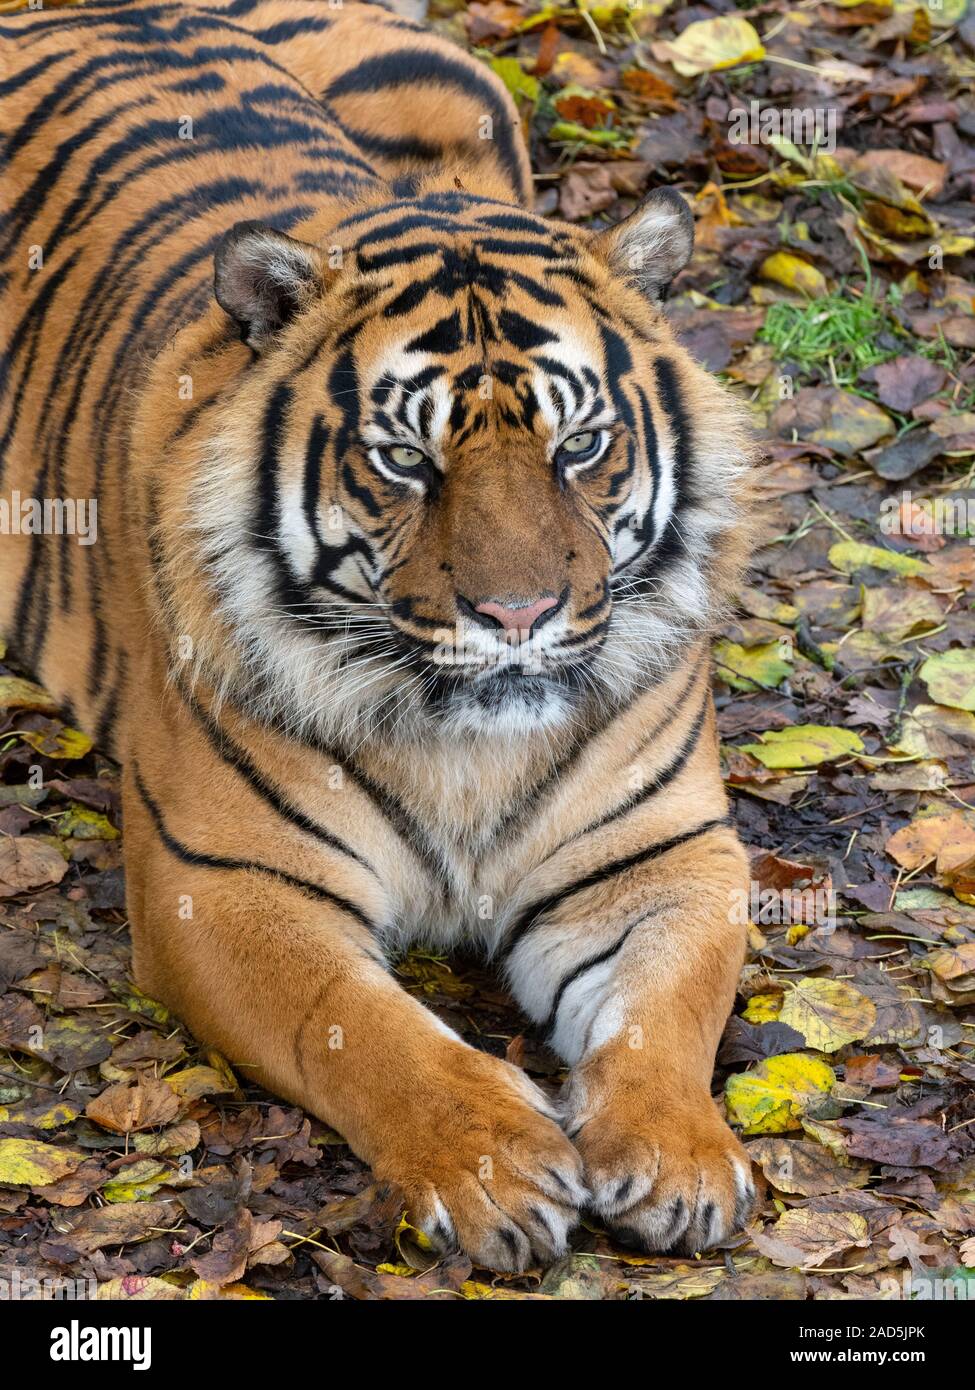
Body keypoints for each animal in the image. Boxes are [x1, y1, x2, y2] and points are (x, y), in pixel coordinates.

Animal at [0, 0, 760, 1270]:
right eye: (407, 458)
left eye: (579, 445)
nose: (518, 615)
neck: (469, 746)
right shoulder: (225, 884)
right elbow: (357, 1026)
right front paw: (495, 1166)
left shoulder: (661, 854)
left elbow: (668, 1010)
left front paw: (677, 1154)